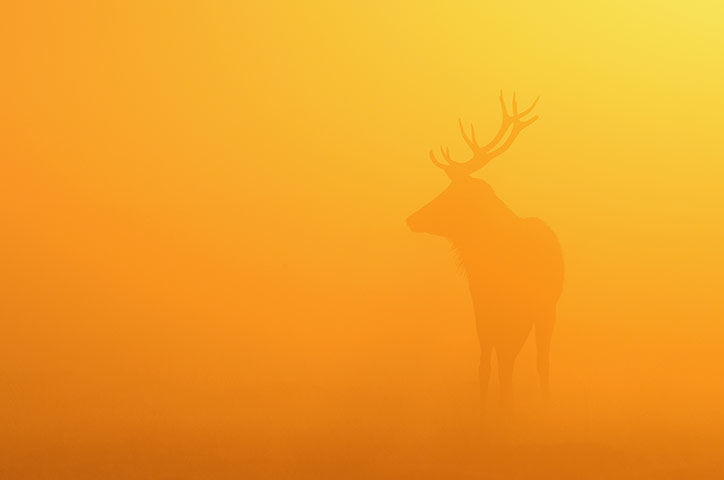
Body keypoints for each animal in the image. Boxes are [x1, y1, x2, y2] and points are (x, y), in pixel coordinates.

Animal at [406, 92, 564, 417]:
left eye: (450, 193)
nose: (411, 219)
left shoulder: (484, 300)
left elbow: (490, 361)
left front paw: (490, 408)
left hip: (523, 306)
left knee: (514, 358)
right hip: (543, 307)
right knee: (539, 360)